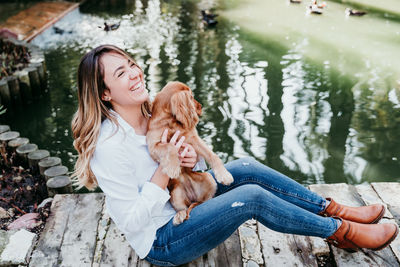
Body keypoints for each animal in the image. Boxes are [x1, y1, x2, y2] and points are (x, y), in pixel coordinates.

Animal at [147, 81, 234, 226]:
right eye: (192, 97)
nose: (201, 106)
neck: (170, 121)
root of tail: (192, 197)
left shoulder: (193, 139)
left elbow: (212, 155)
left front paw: (224, 175)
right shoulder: (153, 146)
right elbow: (170, 146)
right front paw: (173, 168)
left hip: (208, 179)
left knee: (203, 201)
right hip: (175, 194)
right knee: (184, 207)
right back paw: (180, 215)